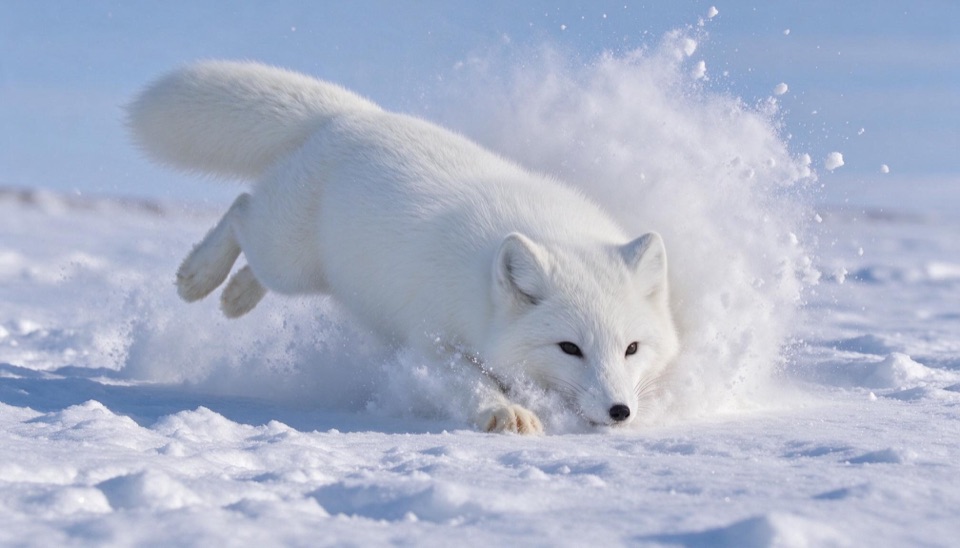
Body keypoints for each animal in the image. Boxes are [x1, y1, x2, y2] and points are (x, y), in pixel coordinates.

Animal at [128, 61, 680, 434]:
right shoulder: (430, 341)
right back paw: (198, 278)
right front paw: (505, 411)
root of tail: (354, 115)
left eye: (631, 348)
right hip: (286, 256)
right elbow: (468, 382)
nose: (620, 411)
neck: (481, 291)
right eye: (570, 348)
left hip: (300, 268)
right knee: (241, 209)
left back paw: (236, 295)